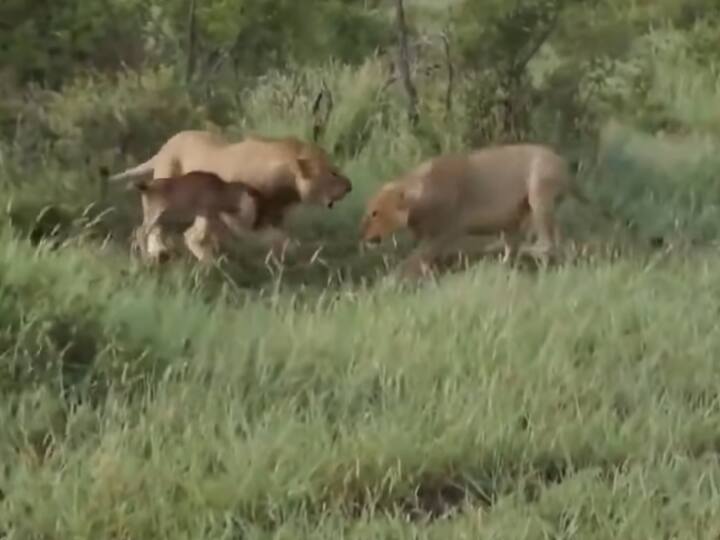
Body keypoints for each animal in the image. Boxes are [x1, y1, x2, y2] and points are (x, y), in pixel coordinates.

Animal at [131, 169, 262, 262]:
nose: (255, 221)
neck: (222, 189)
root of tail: (147, 187)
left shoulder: (204, 214)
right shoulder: (207, 212)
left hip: (159, 218)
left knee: (144, 232)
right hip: (155, 214)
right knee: (141, 231)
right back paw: (146, 258)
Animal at [360, 142, 608, 276]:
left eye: (375, 213)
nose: (361, 233)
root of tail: (563, 163)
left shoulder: (445, 232)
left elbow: (414, 259)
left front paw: (393, 280)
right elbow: (421, 259)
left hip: (539, 194)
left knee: (545, 243)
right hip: (520, 215)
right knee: (551, 241)